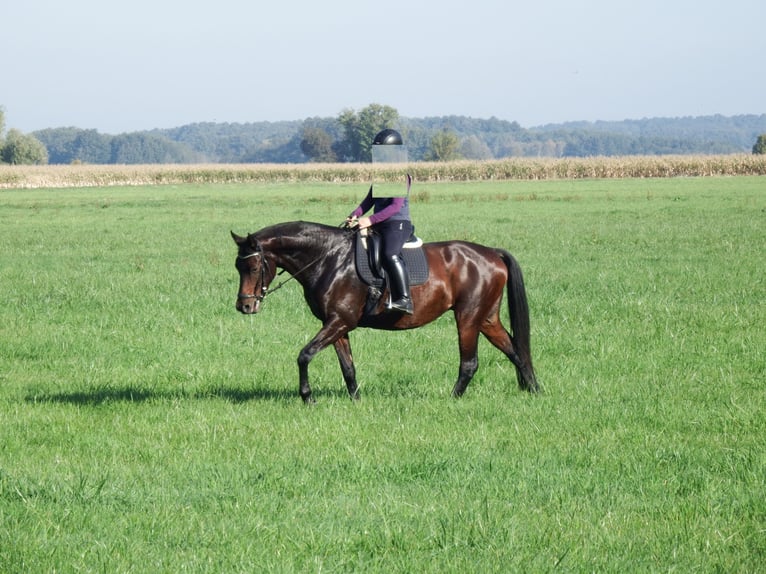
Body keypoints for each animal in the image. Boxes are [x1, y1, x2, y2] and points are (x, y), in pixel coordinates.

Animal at [231, 221, 539, 402]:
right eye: (238, 266)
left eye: (254, 267)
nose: (244, 306)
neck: (329, 259)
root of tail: (492, 253)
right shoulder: (337, 325)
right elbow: (348, 367)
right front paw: (356, 400)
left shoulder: (339, 321)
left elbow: (304, 355)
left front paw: (307, 397)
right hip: (486, 318)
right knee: (515, 350)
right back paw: (534, 391)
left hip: (468, 317)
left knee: (470, 362)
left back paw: (453, 398)